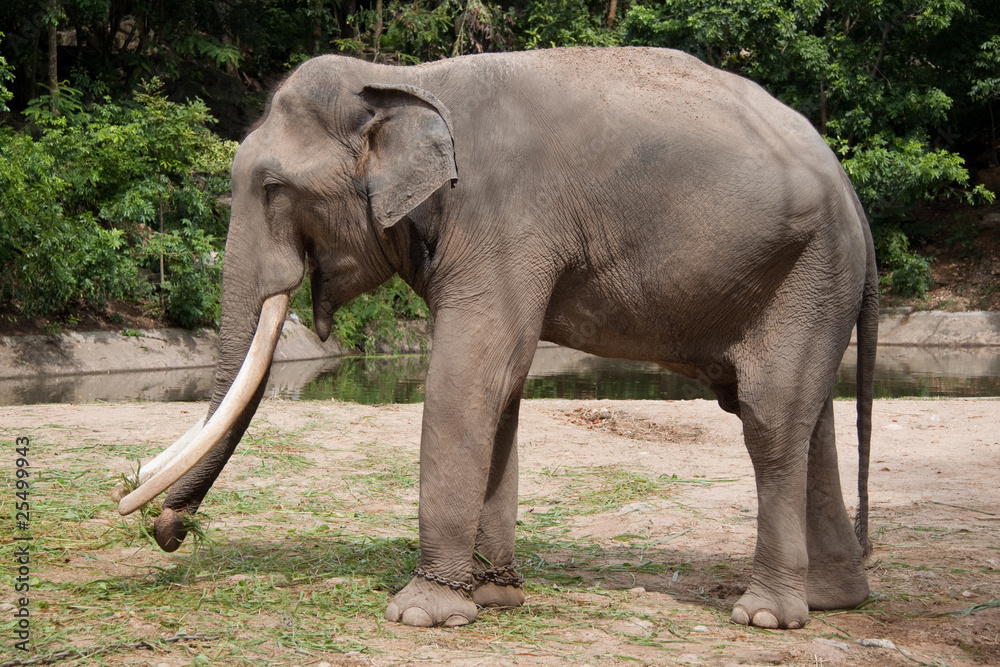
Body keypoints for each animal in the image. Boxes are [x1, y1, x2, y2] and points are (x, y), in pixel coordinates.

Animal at [114, 46, 878, 631]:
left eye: (272, 188)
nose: (167, 530)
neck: (405, 79)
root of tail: (852, 191)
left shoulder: (502, 219)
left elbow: (467, 377)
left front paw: (420, 614)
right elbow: (501, 386)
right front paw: (490, 597)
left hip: (805, 269)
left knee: (771, 419)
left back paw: (765, 615)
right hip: (813, 281)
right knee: (810, 421)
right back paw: (833, 598)